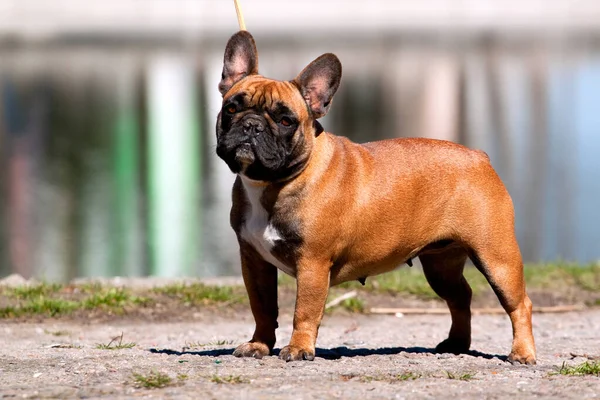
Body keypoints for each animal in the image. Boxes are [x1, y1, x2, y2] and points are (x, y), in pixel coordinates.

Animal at [218, 29, 536, 364]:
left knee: (519, 304)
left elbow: (303, 310)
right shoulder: (254, 261)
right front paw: (259, 344)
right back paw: (457, 343)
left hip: (497, 257)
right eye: (231, 108)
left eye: (285, 121)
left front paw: (299, 348)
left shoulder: (312, 263)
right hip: (441, 265)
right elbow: (262, 307)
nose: (251, 125)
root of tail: (479, 157)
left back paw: (522, 353)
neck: (270, 182)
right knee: (461, 297)